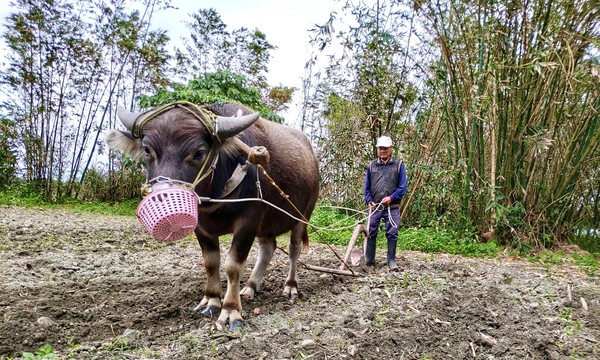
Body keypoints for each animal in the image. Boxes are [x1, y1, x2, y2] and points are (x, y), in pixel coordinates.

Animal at [104, 100, 318, 330]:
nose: (163, 196)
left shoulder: (248, 222)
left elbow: (233, 266)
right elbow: (211, 262)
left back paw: (290, 287)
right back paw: (250, 287)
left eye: (199, 152)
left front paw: (231, 310)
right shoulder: (201, 226)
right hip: (266, 225)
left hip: (302, 217)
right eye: (146, 149)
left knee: (294, 250)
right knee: (267, 249)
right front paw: (212, 300)